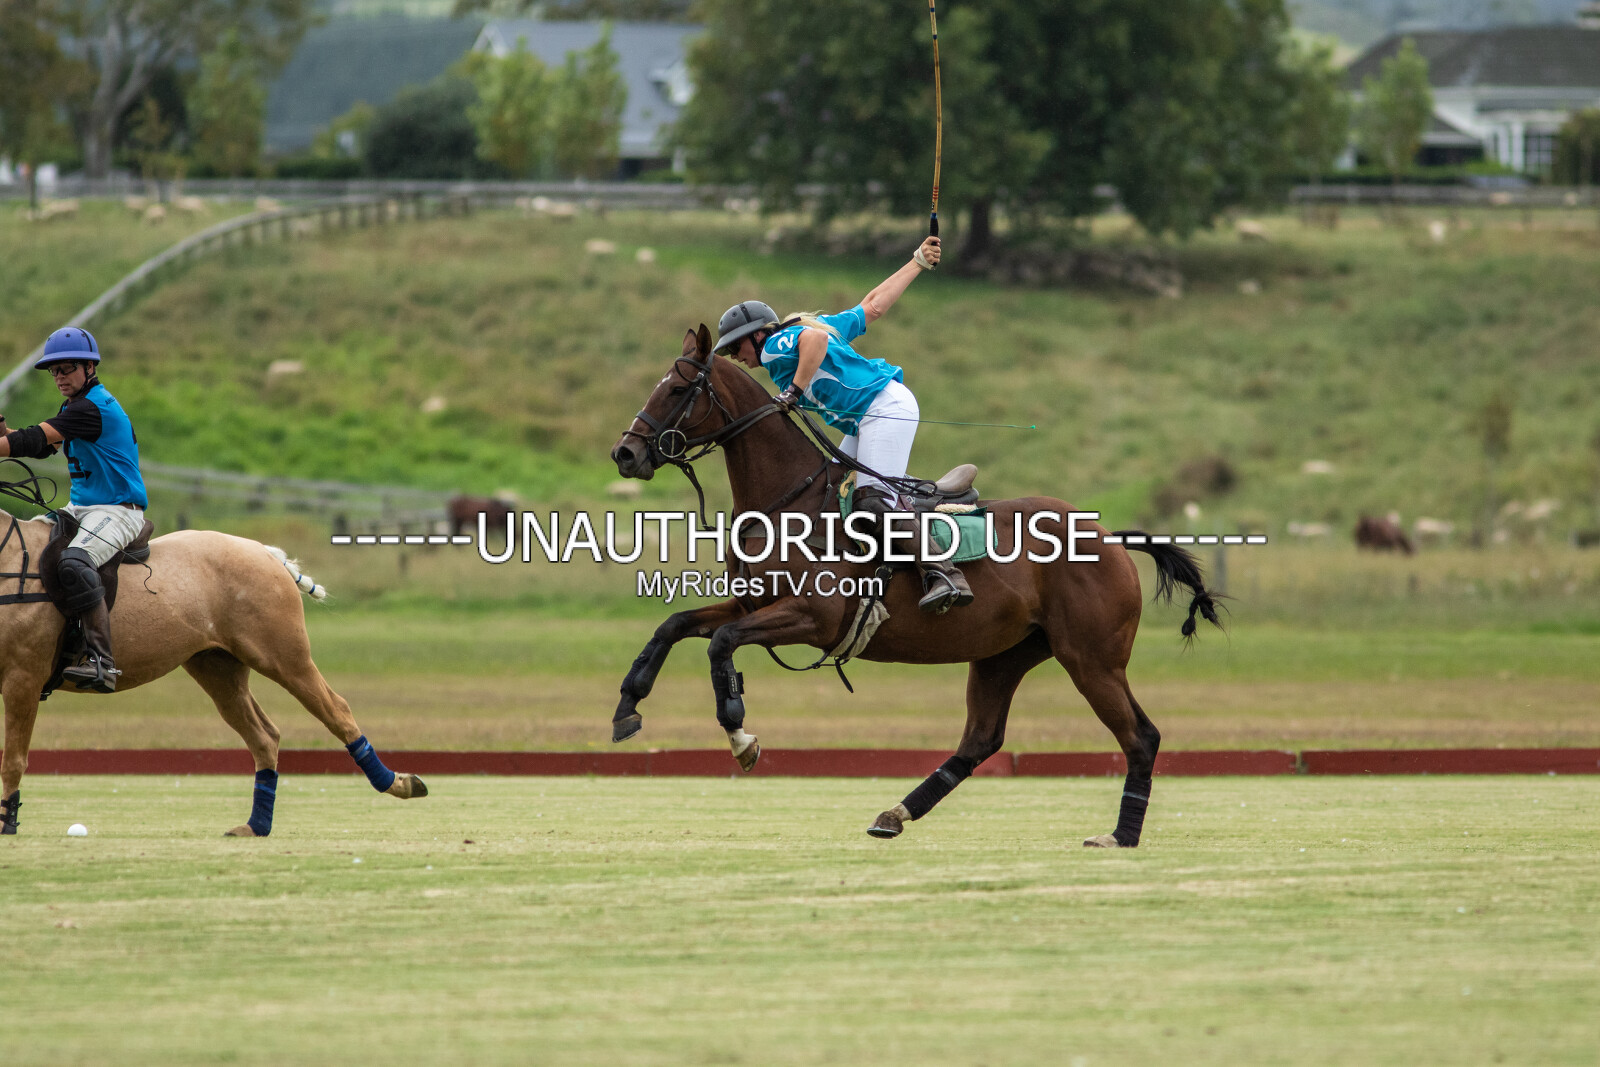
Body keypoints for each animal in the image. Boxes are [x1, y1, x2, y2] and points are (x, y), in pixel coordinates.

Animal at [0, 466, 427, 837]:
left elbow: (13, 758)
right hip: (217, 667)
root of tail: (264, 551)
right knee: (264, 736)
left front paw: (8, 824)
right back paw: (256, 825)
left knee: (335, 710)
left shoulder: (24, 676)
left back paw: (398, 783)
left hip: (284, 656)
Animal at [608, 326, 1222, 847]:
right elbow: (675, 626)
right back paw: (895, 814)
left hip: (1091, 658)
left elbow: (721, 643)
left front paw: (741, 736)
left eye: (678, 388)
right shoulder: (755, 603)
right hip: (1004, 655)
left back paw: (1121, 834)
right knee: (980, 740)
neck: (789, 501)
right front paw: (627, 709)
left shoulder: (811, 618)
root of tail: (1111, 538)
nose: (625, 453)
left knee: (1141, 736)